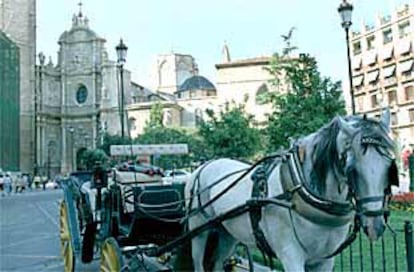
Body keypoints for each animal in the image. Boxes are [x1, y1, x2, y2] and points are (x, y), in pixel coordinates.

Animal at [184, 109, 398, 270]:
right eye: (352, 170)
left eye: (390, 167)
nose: (375, 226)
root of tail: (204, 165)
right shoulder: (291, 256)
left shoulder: (325, 260)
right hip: (198, 230)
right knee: (198, 261)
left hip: (227, 233)